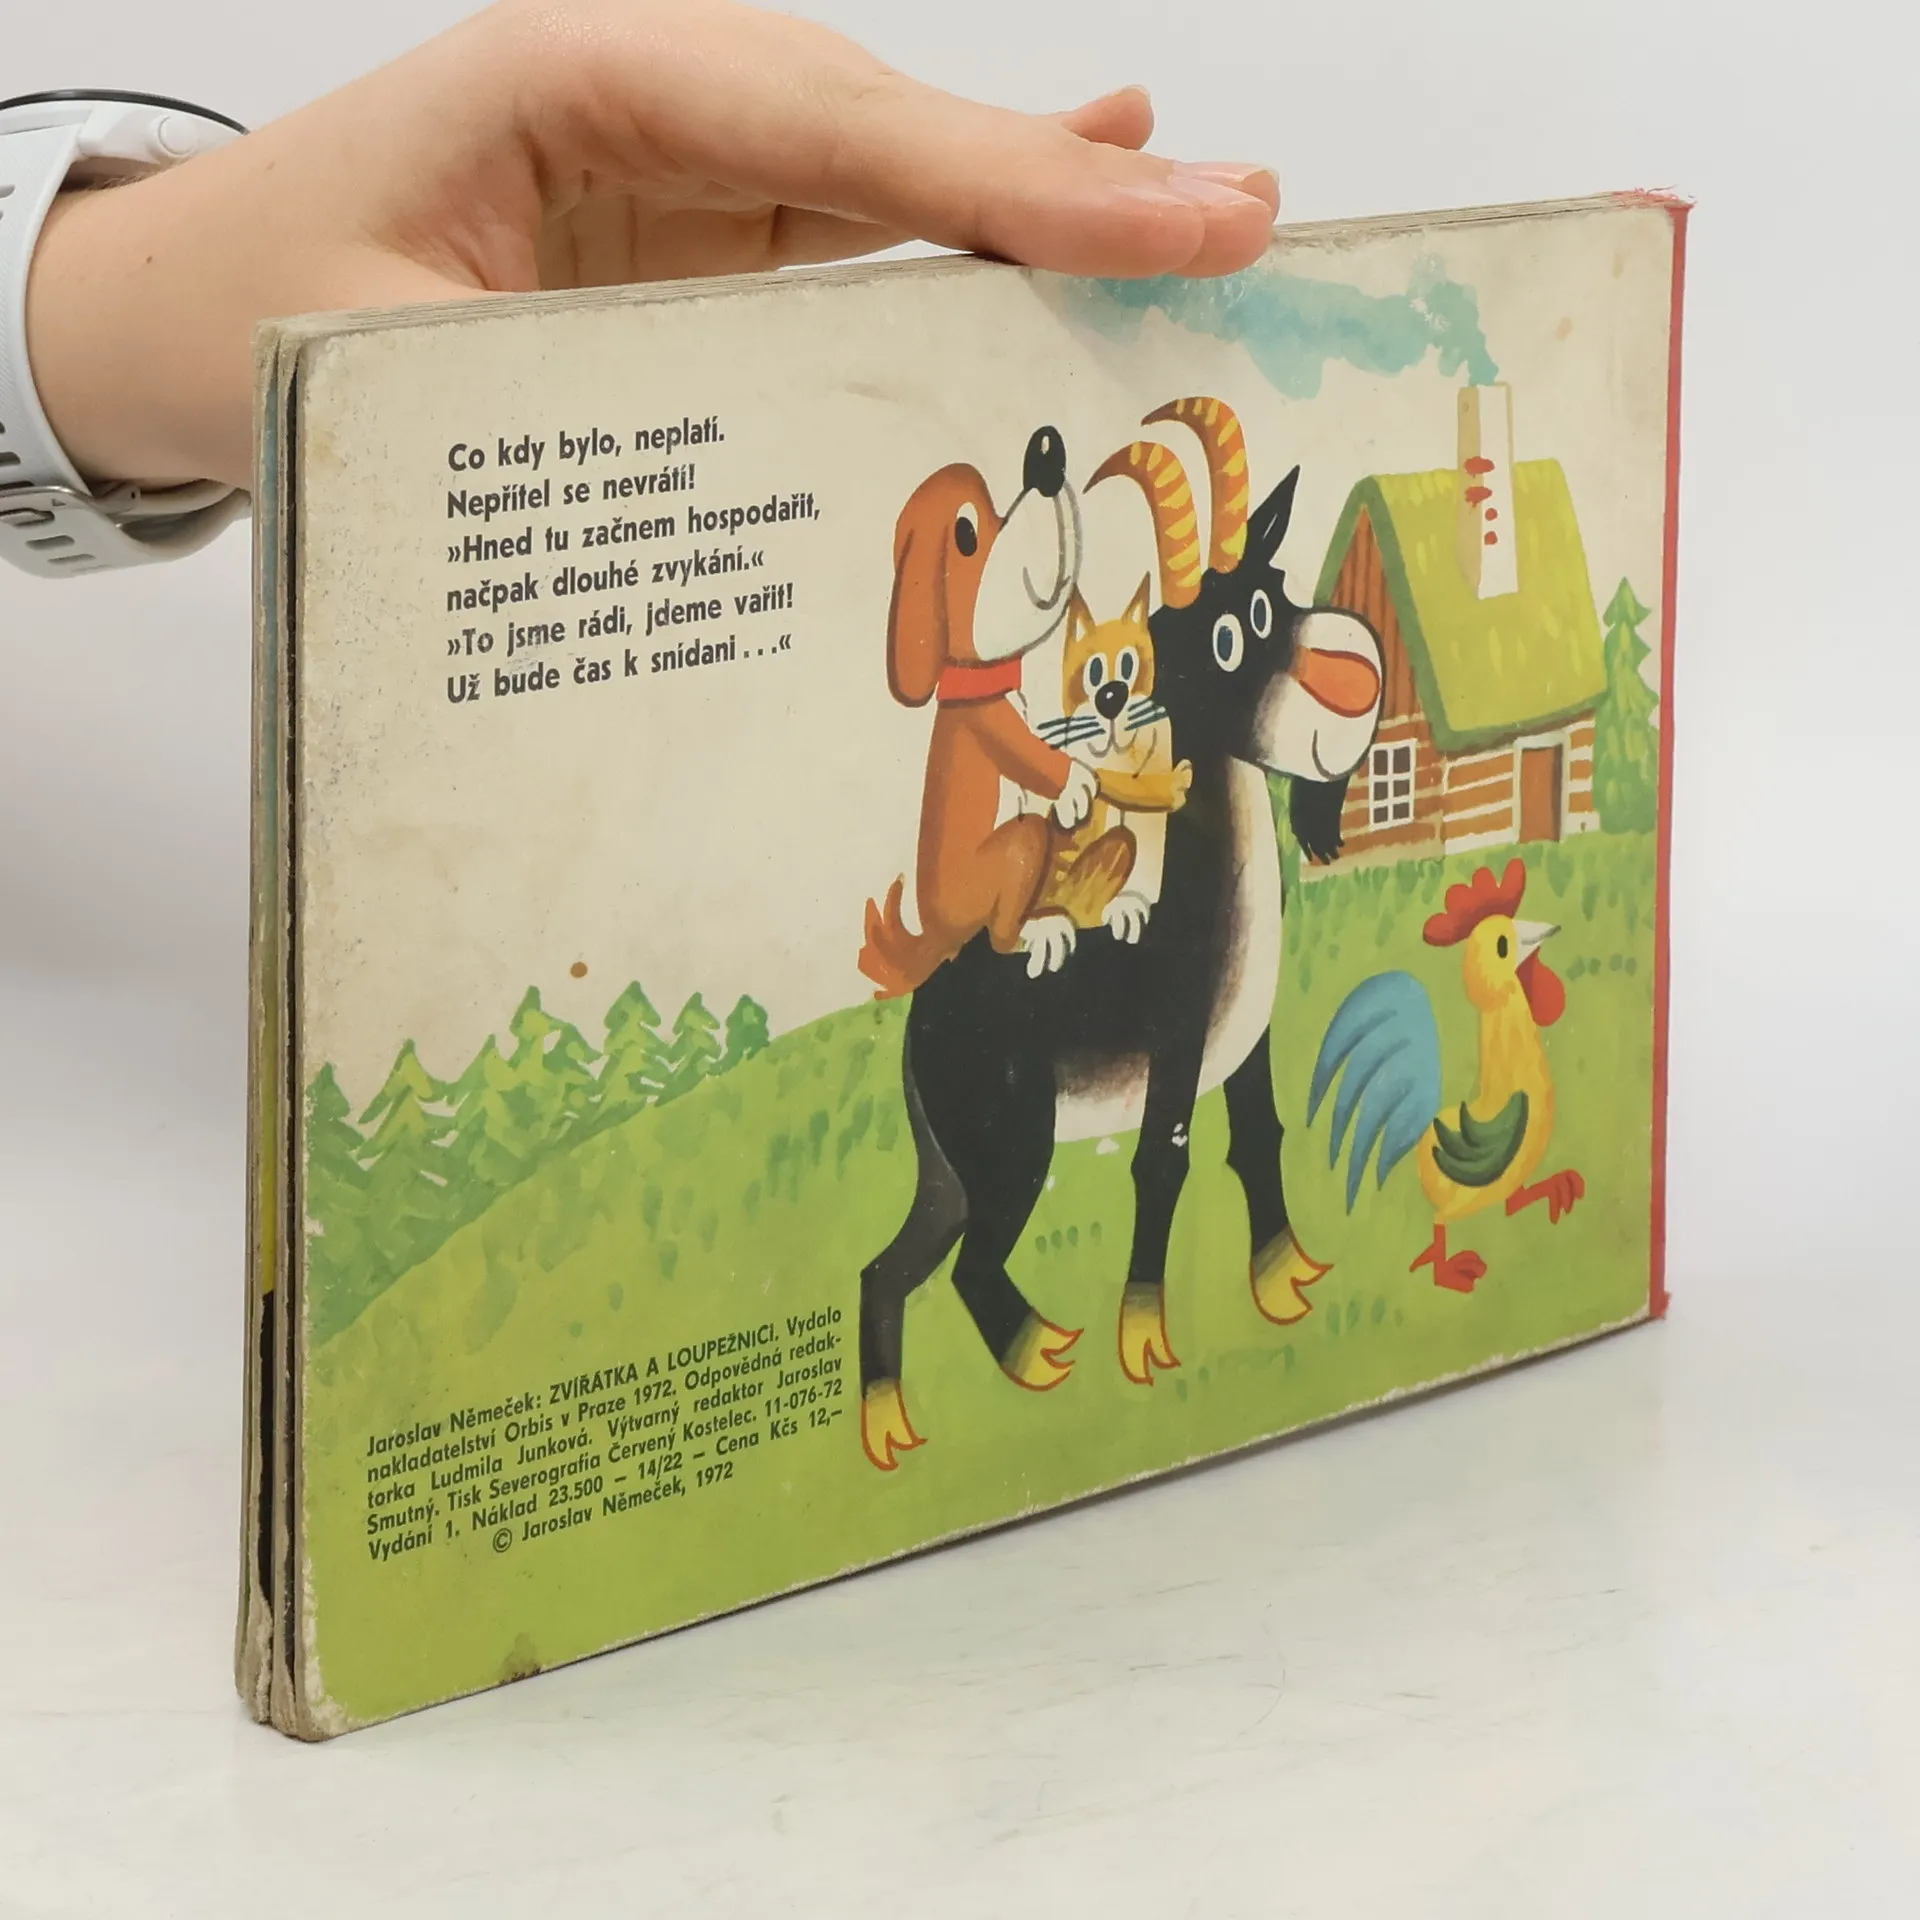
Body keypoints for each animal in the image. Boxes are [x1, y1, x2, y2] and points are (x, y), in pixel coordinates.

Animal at [858, 427, 1095, 1000]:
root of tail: (934, 934)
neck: (980, 676)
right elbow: (1026, 751)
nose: (1045, 451)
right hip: (1014, 853)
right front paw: (1075, 782)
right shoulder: (990, 725)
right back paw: (1039, 930)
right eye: (966, 533)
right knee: (1000, 931)